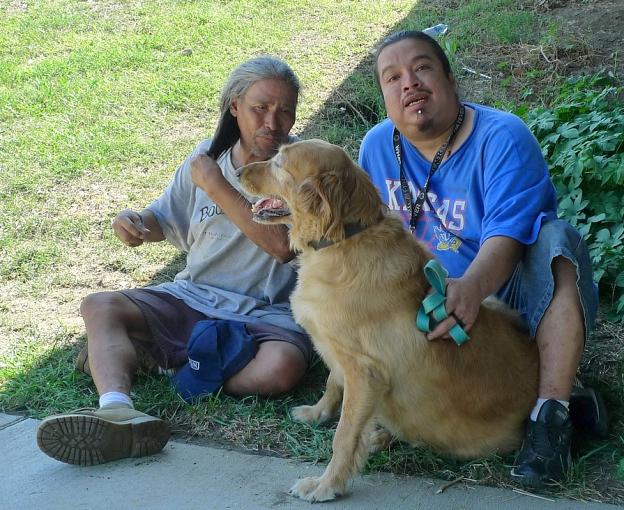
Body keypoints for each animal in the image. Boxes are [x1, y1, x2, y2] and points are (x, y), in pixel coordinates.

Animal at [236, 138, 540, 502]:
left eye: (279, 164)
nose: (237, 171)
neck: (343, 239)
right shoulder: (343, 356)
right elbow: (332, 384)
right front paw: (317, 413)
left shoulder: (365, 374)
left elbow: (343, 436)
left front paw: (326, 485)